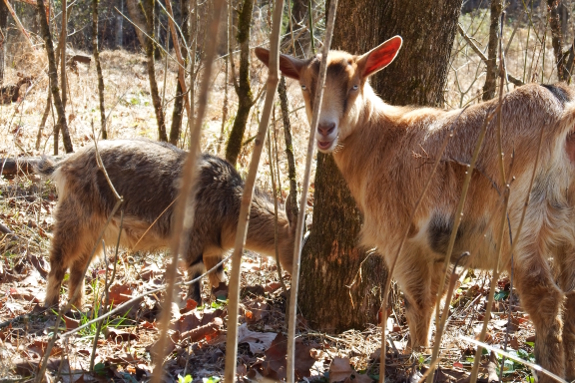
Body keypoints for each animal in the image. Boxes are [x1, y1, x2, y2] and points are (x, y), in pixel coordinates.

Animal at [38, 141, 294, 308]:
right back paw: (50, 304)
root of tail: (67, 160)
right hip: (77, 219)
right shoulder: (193, 239)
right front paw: (195, 306)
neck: (229, 202)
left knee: (79, 266)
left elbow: (218, 276)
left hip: (98, 233)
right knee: (59, 259)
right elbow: (195, 275)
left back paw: (76, 308)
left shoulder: (213, 249)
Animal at [258, 37, 575, 382]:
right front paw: (421, 351)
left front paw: (416, 354)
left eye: (355, 85)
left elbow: (418, 302)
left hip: (519, 220)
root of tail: (563, 112)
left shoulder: (401, 238)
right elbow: (436, 297)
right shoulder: (442, 249)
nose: (325, 129)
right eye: (305, 85)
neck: (382, 140)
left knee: (545, 298)